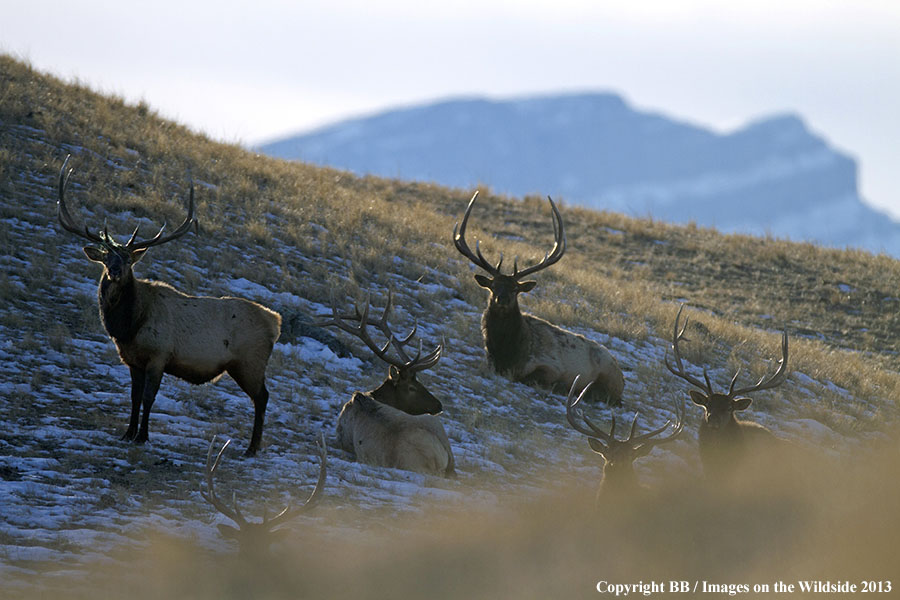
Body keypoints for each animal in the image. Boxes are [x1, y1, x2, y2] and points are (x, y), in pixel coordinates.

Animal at [56, 157, 282, 458]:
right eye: (106, 258)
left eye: (129, 260)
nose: (115, 271)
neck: (128, 326)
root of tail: (275, 322)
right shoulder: (132, 359)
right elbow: (134, 397)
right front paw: (127, 433)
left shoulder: (159, 355)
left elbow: (149, 398)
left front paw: (143, 436)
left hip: (249, 362)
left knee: (262, 397)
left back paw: (252, 448)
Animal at [454, 191, 624, 408]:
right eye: (493, 286)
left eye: (516, 288)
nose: (502, 299)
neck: (507, 352)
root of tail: (622, 375)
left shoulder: (551, 366)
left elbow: (532, 378)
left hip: (608, 378)